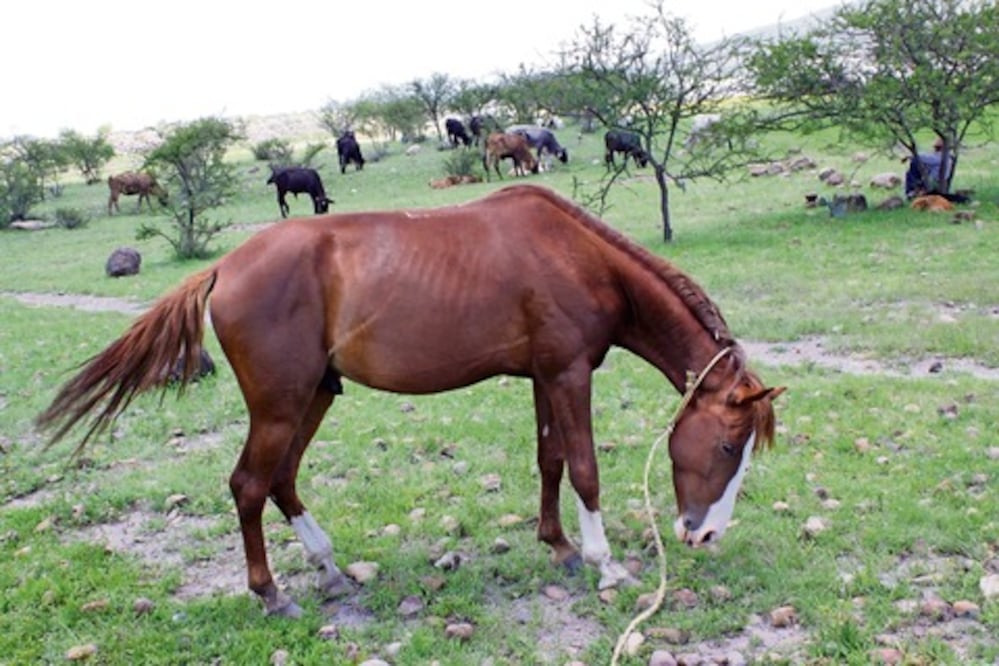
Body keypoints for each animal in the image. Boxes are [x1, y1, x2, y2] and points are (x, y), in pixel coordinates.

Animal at [36, 184, 784, 618]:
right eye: (726, 445)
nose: (705, 533)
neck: (576, 256)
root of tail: (224, 266)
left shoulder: (545, 377)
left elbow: (549, 462)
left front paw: (560, 547)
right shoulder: (570, 375)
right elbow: (585, 469)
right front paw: (605, 567)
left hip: (314, 395)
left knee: (280, 480)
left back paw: (330, 570)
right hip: (281, 404)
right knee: (249, 484)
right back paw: (270, 593)